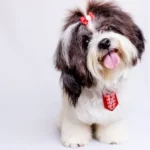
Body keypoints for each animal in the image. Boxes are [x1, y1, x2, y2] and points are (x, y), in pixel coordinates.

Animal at [53, 0, 144, 148]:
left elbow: (111, 124)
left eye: (107, 27)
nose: (104, 42)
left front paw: (113, 137)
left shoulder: (113, 114)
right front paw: (75, 140)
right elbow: (75, 125)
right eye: (86, 41)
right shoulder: (73, 113)